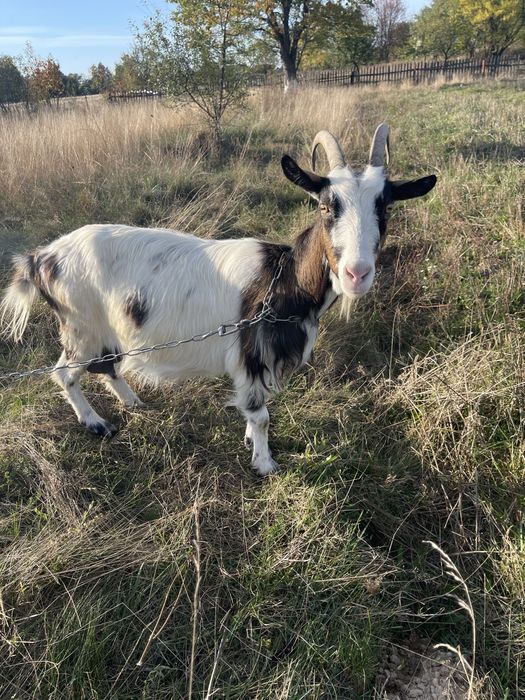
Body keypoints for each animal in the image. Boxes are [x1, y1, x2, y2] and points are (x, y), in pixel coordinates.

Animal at [1, 125, 436, 475]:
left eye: (386, 207)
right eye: (326, 206)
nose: (357, 274)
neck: (284, 280)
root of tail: (41, 258)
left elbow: (251, 406)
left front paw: (248, 441)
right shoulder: (252, 351)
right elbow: (261, 415)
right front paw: (265, 464)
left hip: (107, 328)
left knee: (107, 367)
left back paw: (134, 403)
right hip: (80, 326)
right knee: (65, 373)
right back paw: (97, 424)